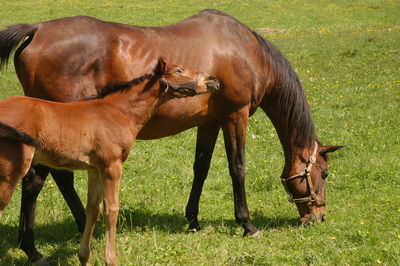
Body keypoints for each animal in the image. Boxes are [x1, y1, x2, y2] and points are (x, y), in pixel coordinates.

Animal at [0, 58, 219, 266]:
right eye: (180, 70)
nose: (213, 80)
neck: (117, 112)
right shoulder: (112, 166)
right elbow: (111, 210)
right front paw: (111, 259)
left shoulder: (95, 169)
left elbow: (93, 209)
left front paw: (84, 257)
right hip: (10, 172)